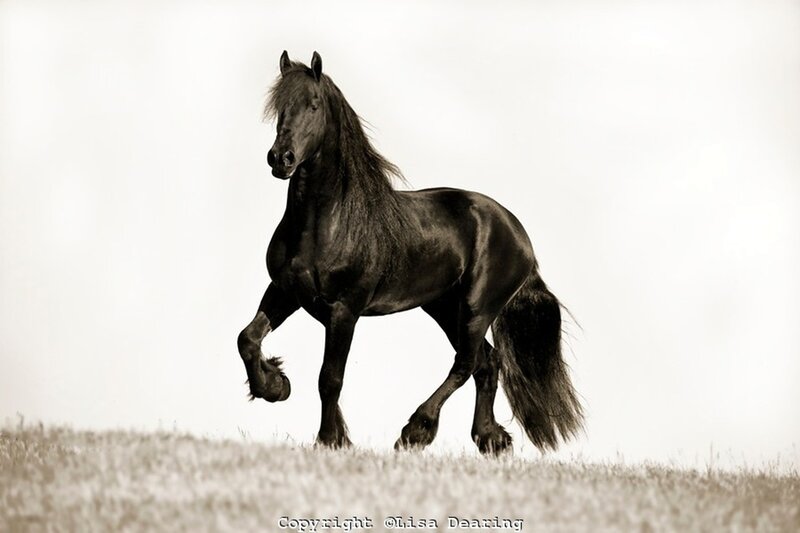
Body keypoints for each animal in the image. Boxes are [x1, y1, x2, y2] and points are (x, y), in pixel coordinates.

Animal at [237, 51, 583, 454]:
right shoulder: (285, 292)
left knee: (466, 364)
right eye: (278, 106)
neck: (327, 223)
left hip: (476, 309)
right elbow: (248, 339)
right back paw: (489, 439)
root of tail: (516, 230)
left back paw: (416, 430)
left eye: (314, 104)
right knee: (487, 364)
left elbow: (330, 379)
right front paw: (275, 386)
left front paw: (329, 440)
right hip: (445, 307)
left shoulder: (344, 310)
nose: (281, 159)